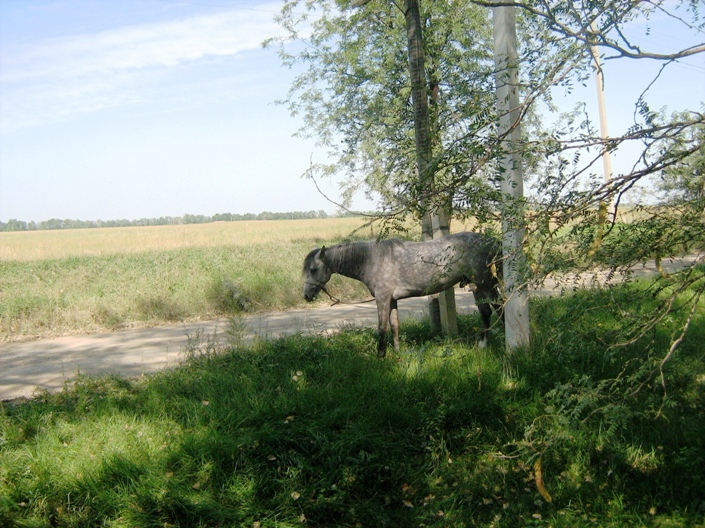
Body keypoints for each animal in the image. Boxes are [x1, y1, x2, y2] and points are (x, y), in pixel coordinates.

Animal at [302, 232, 500, 358]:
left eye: (313, 269)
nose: (306, 295)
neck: (371, 259)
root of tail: (491, 241)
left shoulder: (382, 299)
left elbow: (382, 328)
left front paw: (380, 356)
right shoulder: (392, 300)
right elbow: (394, 326)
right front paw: (397, 353)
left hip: (486, 284)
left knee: (499, 309)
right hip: (476, 286)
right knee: (485, 312)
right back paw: (482, 345)